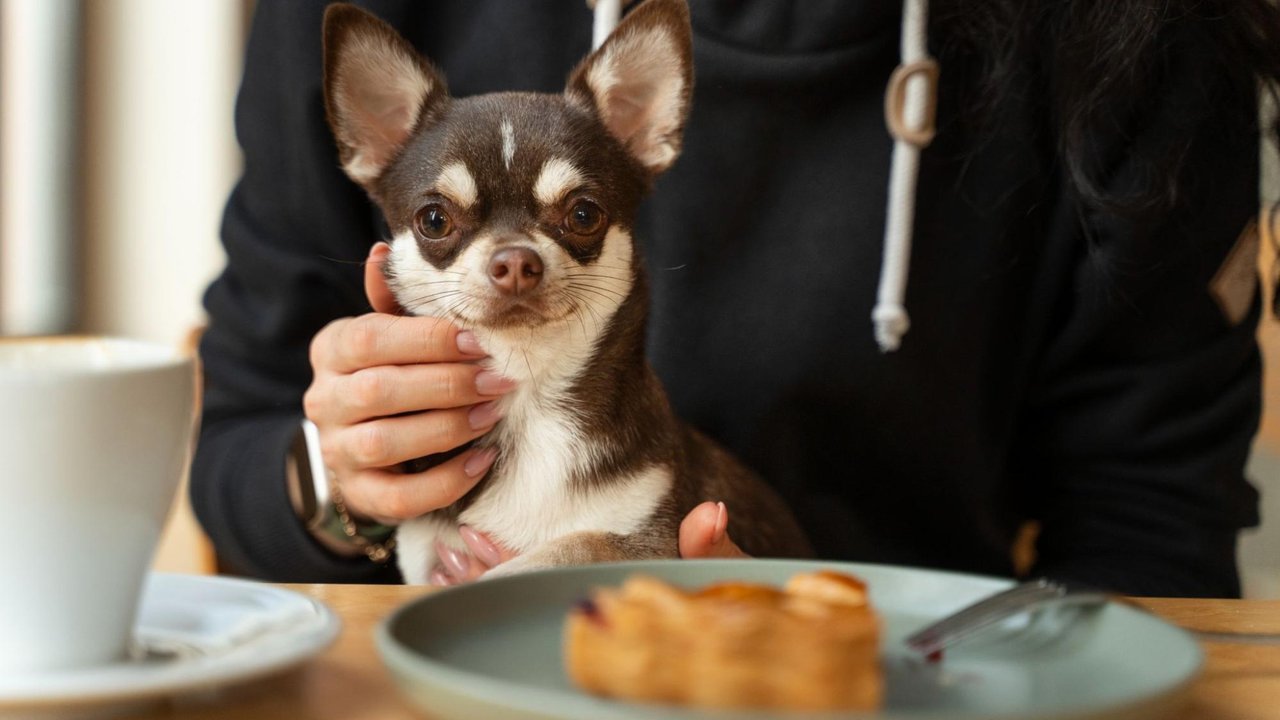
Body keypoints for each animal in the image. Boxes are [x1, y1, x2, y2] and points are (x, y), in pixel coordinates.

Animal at [327, 0, 808, 579]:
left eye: (583, 214)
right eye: (434, 220)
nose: (515, 261)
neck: (529, 391)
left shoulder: (651, 539)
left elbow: (567, 547)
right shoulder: (426, 555)